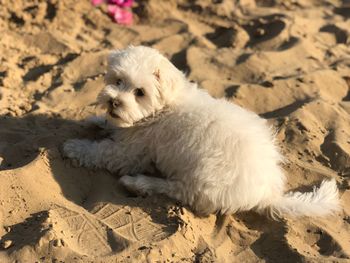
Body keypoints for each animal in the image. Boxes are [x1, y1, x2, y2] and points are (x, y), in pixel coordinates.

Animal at [63, 46, 340, 219]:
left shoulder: (132, 150)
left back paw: (139, 183)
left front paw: (73, 146)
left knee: (179, 191)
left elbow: (102, 152)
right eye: (117, 80)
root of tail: (267, 193)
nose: (113, 102)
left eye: (139, 92)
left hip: (204, 177)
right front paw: (98, 120)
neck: (162, 108)